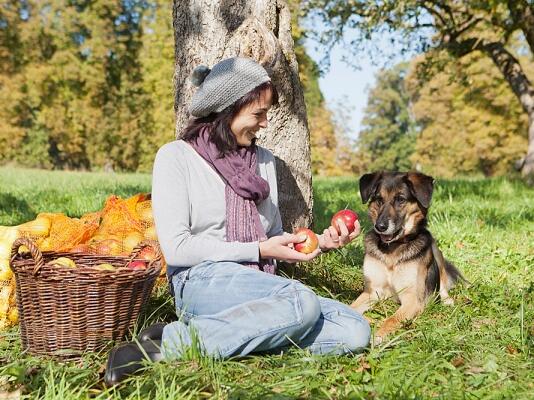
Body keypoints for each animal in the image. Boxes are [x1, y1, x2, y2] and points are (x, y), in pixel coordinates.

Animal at [352, 170, 464, 342]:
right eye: (379, 199)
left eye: (401, 200)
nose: (380, 227)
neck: (392, 249)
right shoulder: (372, 291)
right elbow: (350, 307)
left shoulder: (412, 299)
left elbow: (393, 318)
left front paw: (379, 336)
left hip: (435, 249)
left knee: (443, 282)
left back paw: (447, 300)